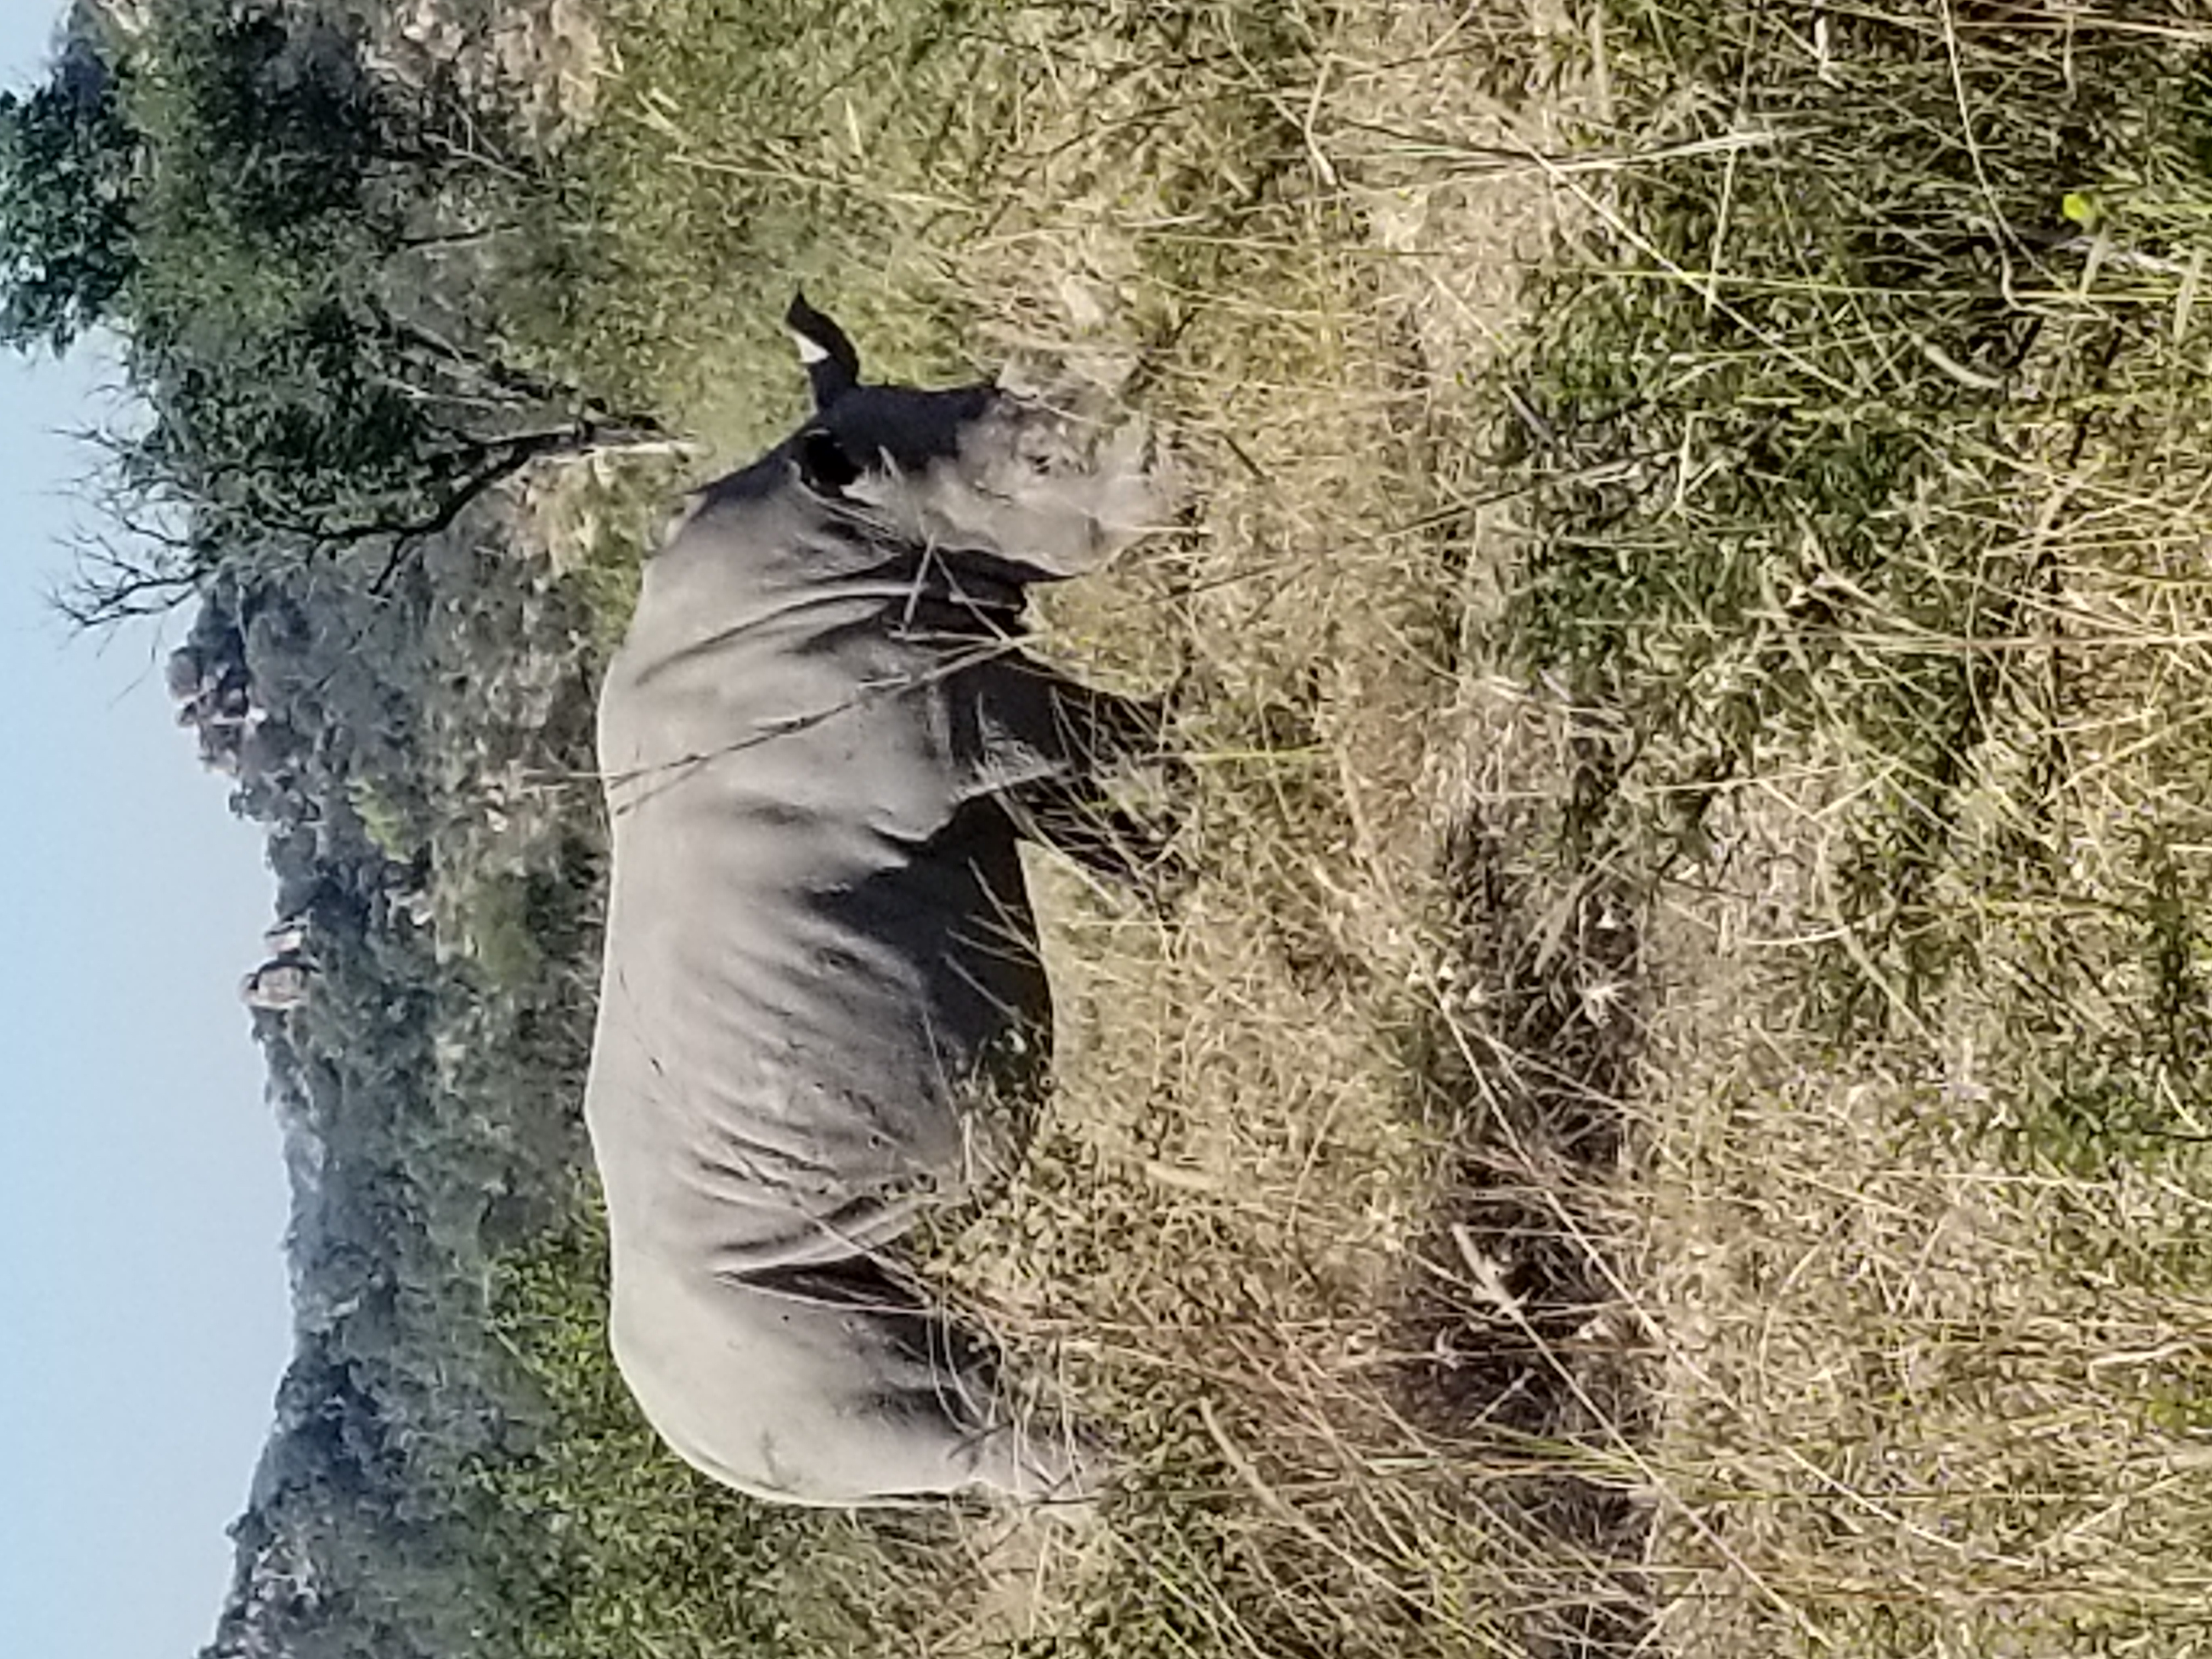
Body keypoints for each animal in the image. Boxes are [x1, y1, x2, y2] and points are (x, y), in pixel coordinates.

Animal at [584, 295, 1174, 1507]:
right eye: (1041, 463)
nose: (1178, 467)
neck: (848, 527)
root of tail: (686, 1435)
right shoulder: (960, 719)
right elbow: (1115, 734)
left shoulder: (971, 708)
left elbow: (1096, 829)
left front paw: (1182, 887)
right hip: (751, 1340)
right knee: (936, 1406)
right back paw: (1151, 1462)